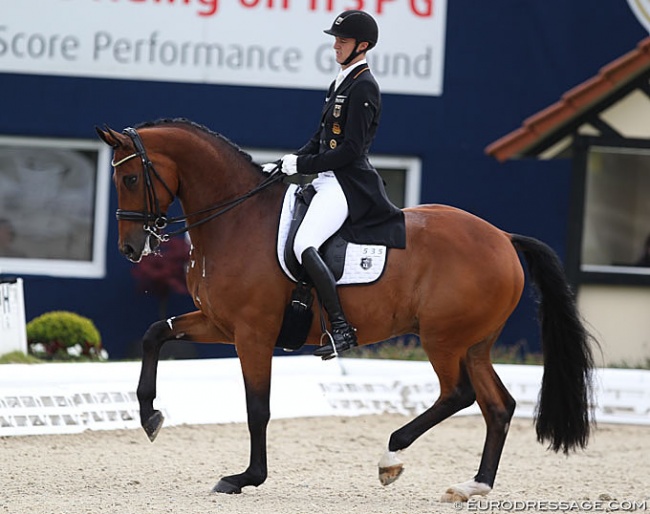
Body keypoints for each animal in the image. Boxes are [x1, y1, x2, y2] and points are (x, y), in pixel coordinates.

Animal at [93, 117, 596, 500]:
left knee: (458, 395)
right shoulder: (219, 323)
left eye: (131, 178)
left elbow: (258, 407)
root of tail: (504, 238)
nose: (130, 248)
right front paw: (150, 417)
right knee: (498, 406)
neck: (235, 220)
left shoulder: (252, 333)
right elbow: (155, 333)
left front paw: (245, 478)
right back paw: (474, 486)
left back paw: (391, 457)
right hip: (474, 344)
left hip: (442, 339)